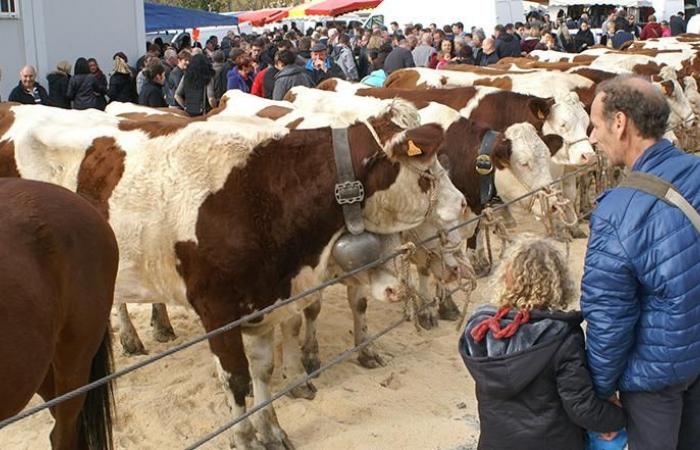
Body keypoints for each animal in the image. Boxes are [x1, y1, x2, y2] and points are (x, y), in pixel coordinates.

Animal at [1, 103, 470, 450]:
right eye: (428, 171)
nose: (464, 204)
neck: (263, 193)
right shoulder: (218, 309)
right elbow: (237, 378)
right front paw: (245, 438)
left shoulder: (264, 303)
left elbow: (263, 372)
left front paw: (272, 430)